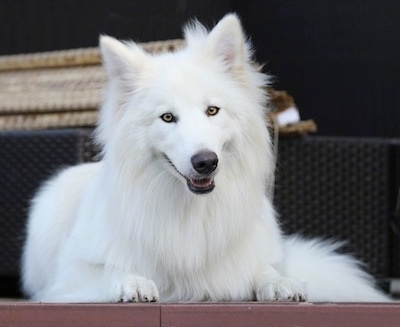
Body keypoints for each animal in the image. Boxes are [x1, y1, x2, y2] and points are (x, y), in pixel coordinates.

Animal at [21, 14, 388, 304]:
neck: (191, 209)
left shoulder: (247, 259)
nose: (205, 162)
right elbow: (111, 269)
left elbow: (262, 271)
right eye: (167, 117)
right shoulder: (70, 275)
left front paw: (281, 284)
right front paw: (132, 282)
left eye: (212, 110)